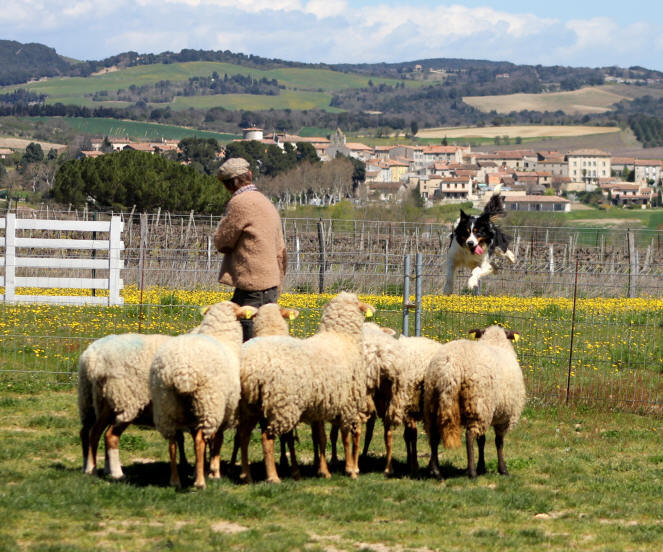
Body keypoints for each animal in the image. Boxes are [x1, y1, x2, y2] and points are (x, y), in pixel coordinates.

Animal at [150, 302, 256, 488]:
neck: (221, 336)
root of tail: (183, 371)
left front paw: (202, 468)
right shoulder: (223, 409)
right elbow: (217, 439)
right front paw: (214, 471)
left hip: (167, 405)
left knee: (172, 441)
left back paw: (175, 480)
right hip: (208, 403)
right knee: (199, 441)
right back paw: (200, 482)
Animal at [237, 294, 374, 484]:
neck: (341, 336)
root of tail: (250, 366)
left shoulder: (318, 407)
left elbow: (321, 438)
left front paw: (323, 471)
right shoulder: (348, 404)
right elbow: (346, 437)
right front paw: (350, 470)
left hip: (250, 406)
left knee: (243, 436)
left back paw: (246, 475)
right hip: (282, 404)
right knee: (267, 438)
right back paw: (273, 477)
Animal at [422, 328, 528, 478]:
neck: (496, 342)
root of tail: (450, 367)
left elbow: (482, 441)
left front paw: (482, 466)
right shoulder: (505, 417)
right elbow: (498, 442)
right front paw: (502, 469)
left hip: (433, 402)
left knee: (434, 436)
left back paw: (435, 470)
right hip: (479, 403)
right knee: (469, 436)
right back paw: (471, 472)